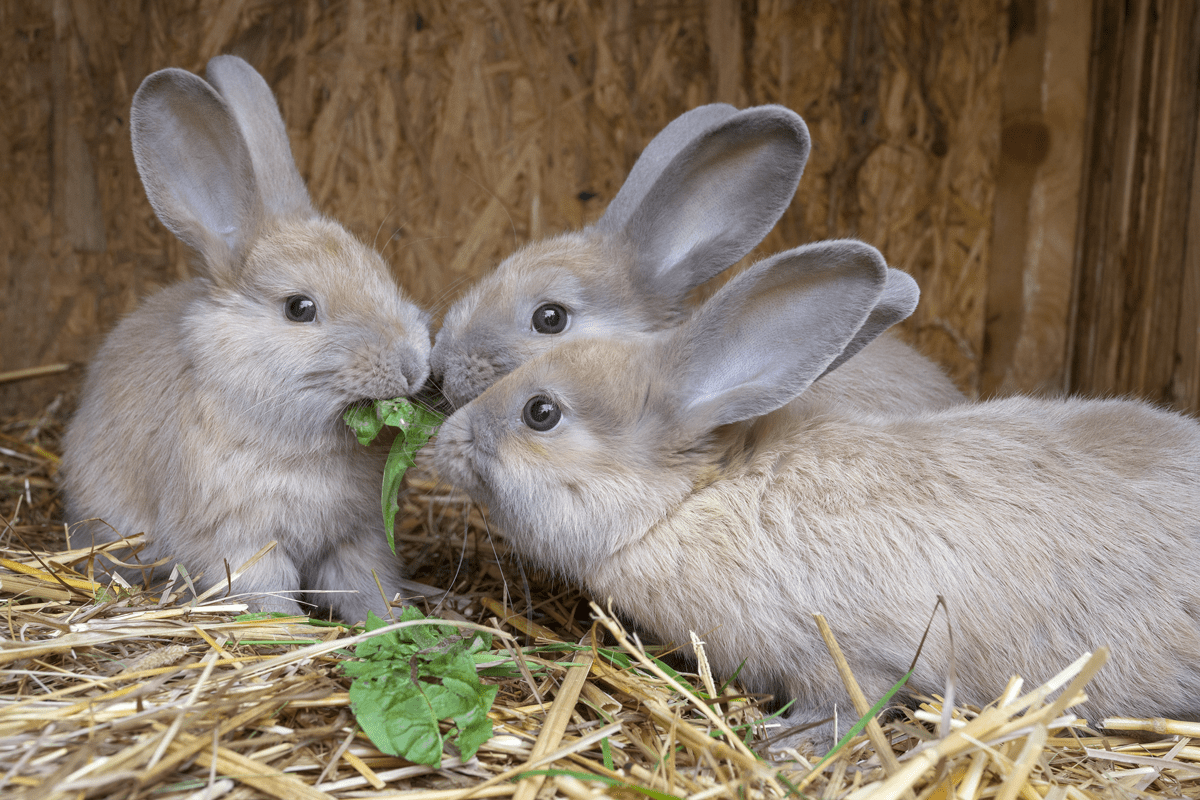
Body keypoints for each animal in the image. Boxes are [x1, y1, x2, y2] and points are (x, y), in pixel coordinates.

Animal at [60, 56, 434, 623]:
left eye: (381, 272)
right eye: (299, 308)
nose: (412, 364)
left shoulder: (356, 539)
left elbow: (368, 587)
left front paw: (398, 622)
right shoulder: (242, 542)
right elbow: (267, 595)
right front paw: (287, 631)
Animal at [436, 236, 1200, 743]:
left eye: (541, 412)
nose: (444, 440)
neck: (685, 502)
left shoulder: (842, 654)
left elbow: (846, 700)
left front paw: (782, 740)